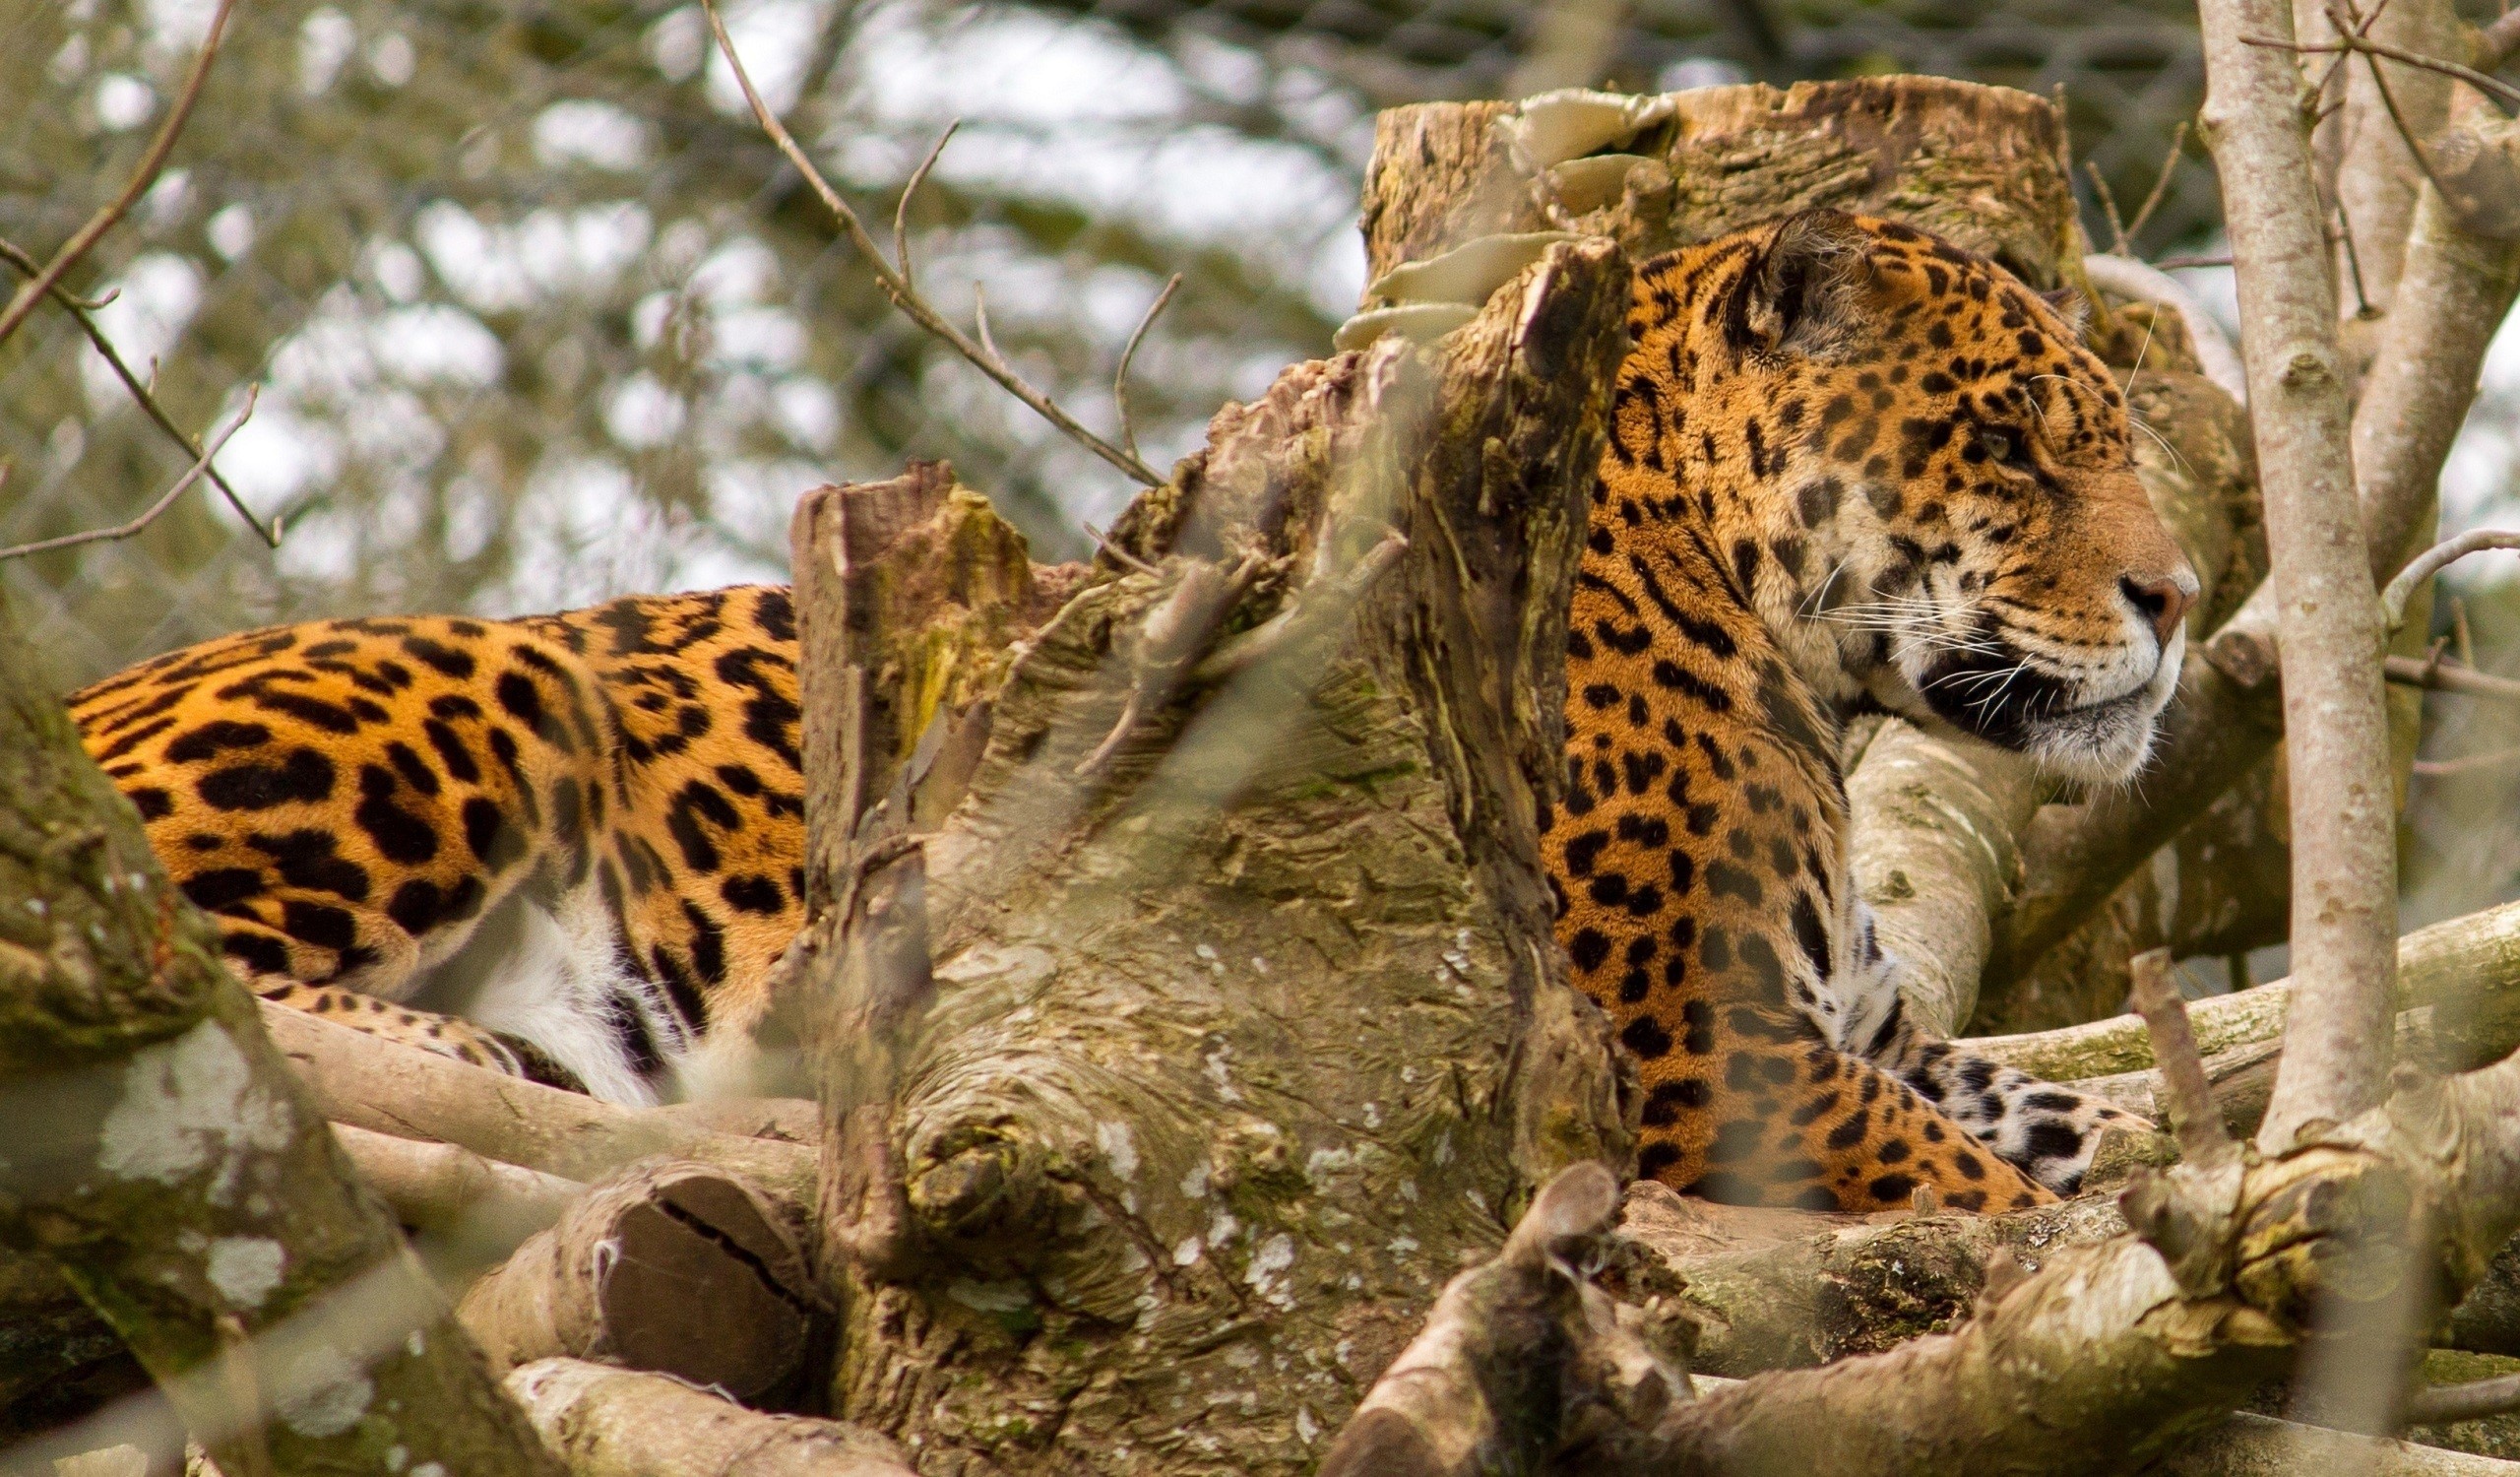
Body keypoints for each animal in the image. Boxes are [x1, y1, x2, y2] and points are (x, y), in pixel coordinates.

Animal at [1540, 208, 2195, 1212]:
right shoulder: (1701, 1057)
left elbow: (2058, 1114)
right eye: (2001, 446)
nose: (2178, 599)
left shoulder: (1883, 1036)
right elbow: (1973, 1183)